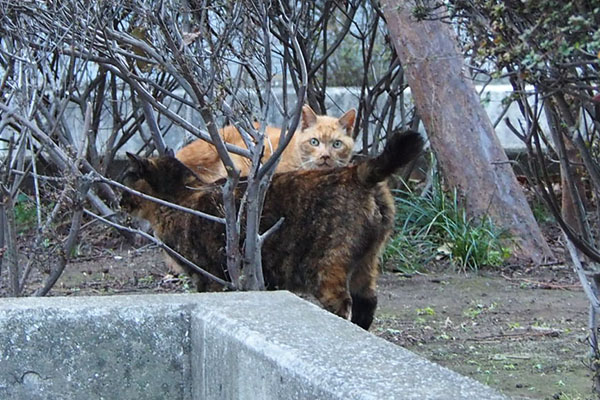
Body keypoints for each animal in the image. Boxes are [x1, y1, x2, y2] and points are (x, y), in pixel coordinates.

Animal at [120, 130, 422, 330]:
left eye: (125, 180)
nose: (116, 199)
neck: (180, 198)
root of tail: (355, 172)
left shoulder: (210, 277)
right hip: (367, 263)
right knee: (367, 302)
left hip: (326, 266)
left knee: (342, 303)